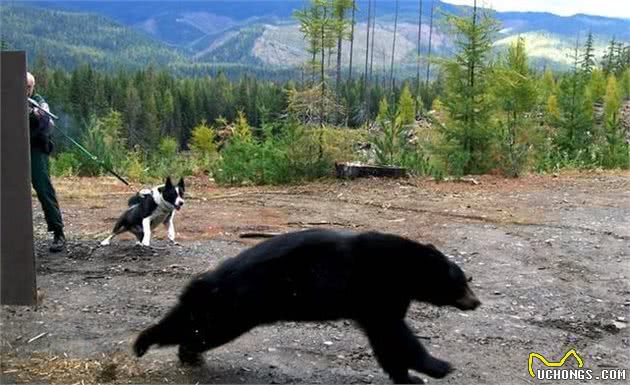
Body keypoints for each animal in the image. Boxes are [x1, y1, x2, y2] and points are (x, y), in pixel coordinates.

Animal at [132, 228, 478, 380]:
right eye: (462, 281)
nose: (476, 302)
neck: (403, 269)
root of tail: (205, 279)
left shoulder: (375, 305)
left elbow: (385, 339)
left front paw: (407, 375)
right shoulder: (376, 291)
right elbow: (396, 334)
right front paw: (437, 366)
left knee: (192, 326)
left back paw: (187, 353)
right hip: (231, 308)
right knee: (195, 326)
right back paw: (144, 343)